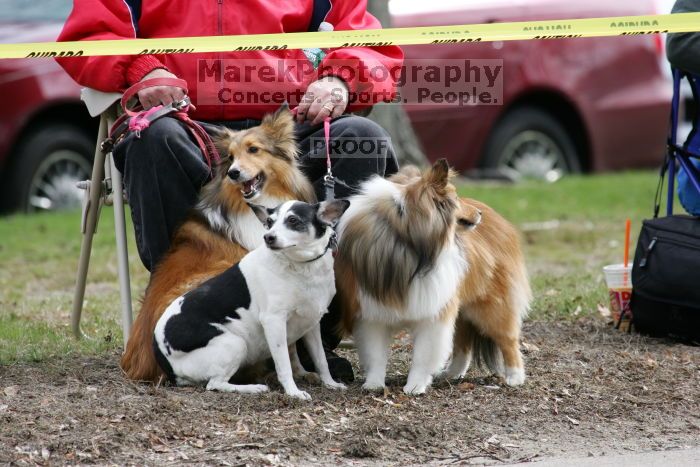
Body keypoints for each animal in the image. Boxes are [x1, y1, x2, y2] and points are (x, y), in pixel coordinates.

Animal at [153, 199, 350, 400]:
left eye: (293, 220)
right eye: (269, 222)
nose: (268, 237)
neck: (299, 266)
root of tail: (162, 358)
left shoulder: (311, 324)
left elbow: (321, 360)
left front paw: (330, 383)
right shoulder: (274, 322)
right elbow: (284, 365)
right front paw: (293, 392)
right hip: (235, 344)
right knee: (214, 384)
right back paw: (252, 388)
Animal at [336, 159, 528, 394]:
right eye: (455, 197)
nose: (479, 213)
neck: (407, 242)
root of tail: (499, 218)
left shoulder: (433, 312)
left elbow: (423, 355)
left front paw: (415, 386)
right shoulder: (372, 311)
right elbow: (375, 353)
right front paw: (373, 384)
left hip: (488, 307)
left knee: (508, 340)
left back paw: (515, 377)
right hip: (462, 307)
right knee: (463, 345)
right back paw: (452, 374)